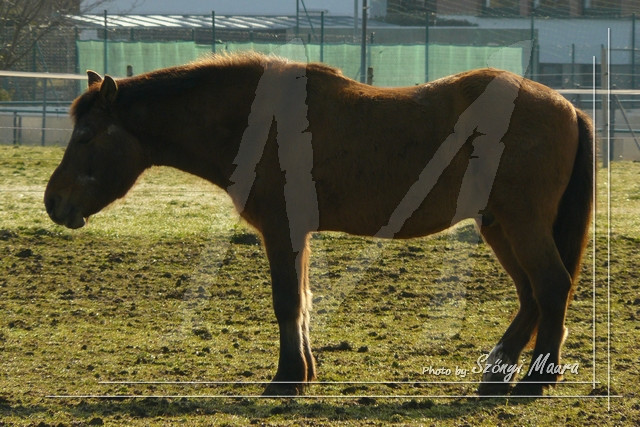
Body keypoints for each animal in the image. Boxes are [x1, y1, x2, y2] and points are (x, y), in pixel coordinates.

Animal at [43, 53, 596, 398]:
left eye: (86, 135)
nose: (53, 202)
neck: (258, 120)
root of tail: (568, 106)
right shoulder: (295, 233)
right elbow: (304, 302)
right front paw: (303, 373)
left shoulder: (282, 229)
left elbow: (288, 302)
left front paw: (287, 378)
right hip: (500, 225)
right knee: (532, 296)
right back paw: (500, 373)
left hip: (521, 224)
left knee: (551, 287)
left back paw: (533, 383)